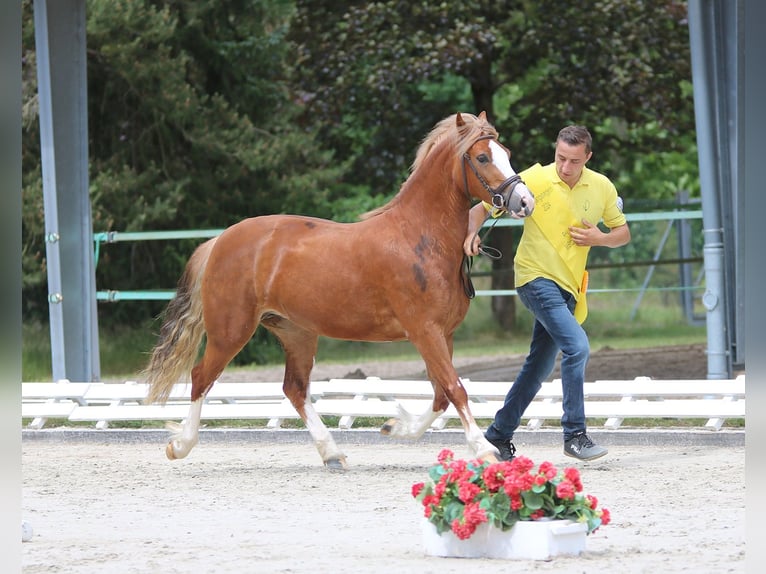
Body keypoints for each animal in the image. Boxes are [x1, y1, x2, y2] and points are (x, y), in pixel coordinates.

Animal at [147, 111, 536, 468]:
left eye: (506, 151)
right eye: (482, 157)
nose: (524, 202)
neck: (420, 238)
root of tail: (220, 241)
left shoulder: (444, 334)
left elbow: (441, 393)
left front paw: (396, 427)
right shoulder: (425, 331)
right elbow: (455, 389)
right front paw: (484, 450)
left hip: (296, 332)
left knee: (294, 389)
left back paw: (331, 452)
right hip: (231, 331)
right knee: (202, 377)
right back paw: (180, 445)